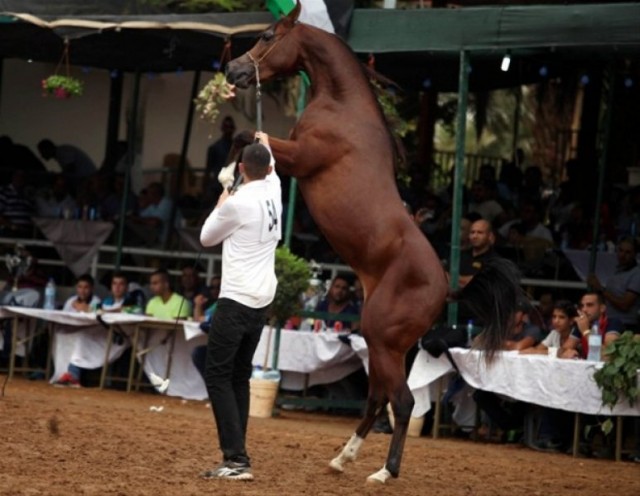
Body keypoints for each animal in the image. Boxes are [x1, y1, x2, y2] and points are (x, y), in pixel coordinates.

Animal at [228, 2, 516, 484]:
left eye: (268, 36)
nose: (233, 70)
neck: (342, 106)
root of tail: (447, 287)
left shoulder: (300, 157)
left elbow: (244, 138)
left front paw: (230, 181)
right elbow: (243, 142)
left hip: (382, 339)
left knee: (402, 401)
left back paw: (385, 471)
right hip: (387, 345)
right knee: (379, 398)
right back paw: (342, 458)